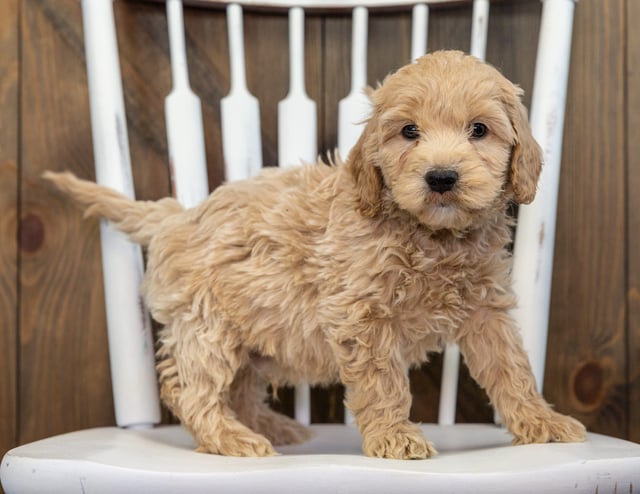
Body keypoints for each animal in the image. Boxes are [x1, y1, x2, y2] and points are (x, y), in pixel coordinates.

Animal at [43, 51, 584, 460]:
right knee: (192, 389)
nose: (441, 177)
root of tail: (178, 215)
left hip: (254, 339)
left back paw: (272, 426)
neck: (431, 235)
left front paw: (542, 422)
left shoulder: (486, 309)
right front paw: (394, 436)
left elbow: (512, 370)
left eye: (479, 130)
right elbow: (383, 382)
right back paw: (233, 438)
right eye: (409, 132)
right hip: (206, 325)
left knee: (239, 387)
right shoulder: (361, 316)